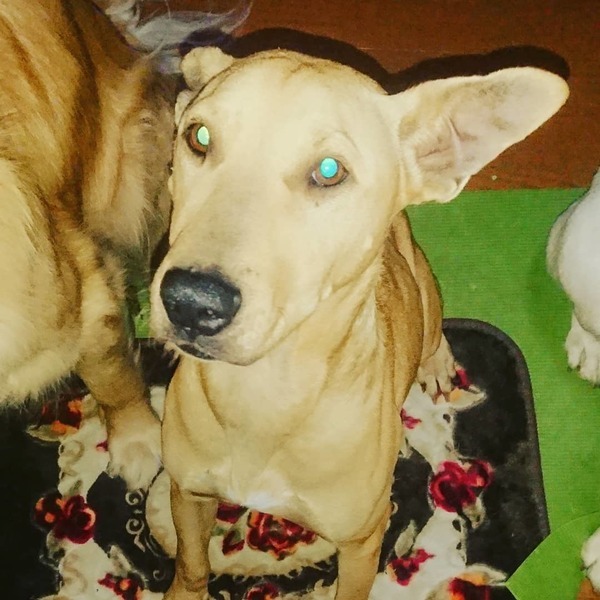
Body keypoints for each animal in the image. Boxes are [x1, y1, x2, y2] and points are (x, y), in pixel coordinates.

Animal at [150, 47, 568, 598]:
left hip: (426, 290)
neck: (266, 396)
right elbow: (194, 563)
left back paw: (437, 364)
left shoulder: (362, 543)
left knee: (433, 332)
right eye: (198, 136)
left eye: (329, 170)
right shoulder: (189, 494)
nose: (191, 302)